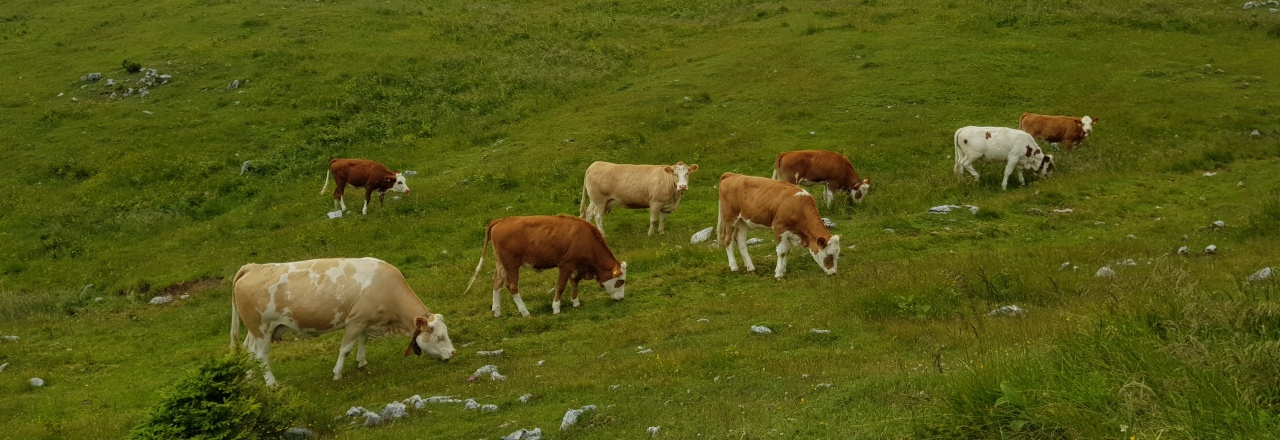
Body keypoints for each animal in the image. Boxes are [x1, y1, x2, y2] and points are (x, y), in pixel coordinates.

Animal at [232, 258, 458, 383]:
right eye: (439, 336)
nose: (453, 353)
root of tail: (252, 267)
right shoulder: (355, 321)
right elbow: (345, 348)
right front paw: (337, 373)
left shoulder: (366, 320)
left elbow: (363, 340)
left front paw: (362, 362)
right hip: (261, 328)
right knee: (261, 356)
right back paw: (272, 383)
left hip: (256, 330)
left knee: (249, 351)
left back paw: (250, 377)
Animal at [468, 216, 632, 315]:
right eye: (621, 281)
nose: (621, 298)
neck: (586, 238)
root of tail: (500, 220)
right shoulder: (566, 265)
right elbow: (561, 286)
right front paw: (556, 307)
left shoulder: (576, 266)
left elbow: (574, 283)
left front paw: (575, 302)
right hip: (511, 264)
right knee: (512, 286)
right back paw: (525, 312)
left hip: (501, 264)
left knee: (497, 283)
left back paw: (497, 311)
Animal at [716, 171, 844, 278]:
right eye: (829, 255)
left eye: (837, 254)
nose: (833, 272)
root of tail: (732, 175)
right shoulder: (779, 228)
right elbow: (781, 251)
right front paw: (778, 274)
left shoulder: (790, 232)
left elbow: (786, 251)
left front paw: (783, 270)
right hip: (730, 218)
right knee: (728, 240)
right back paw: (734, 267)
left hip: (743, 221)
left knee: (741, 241)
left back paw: (750, 267)